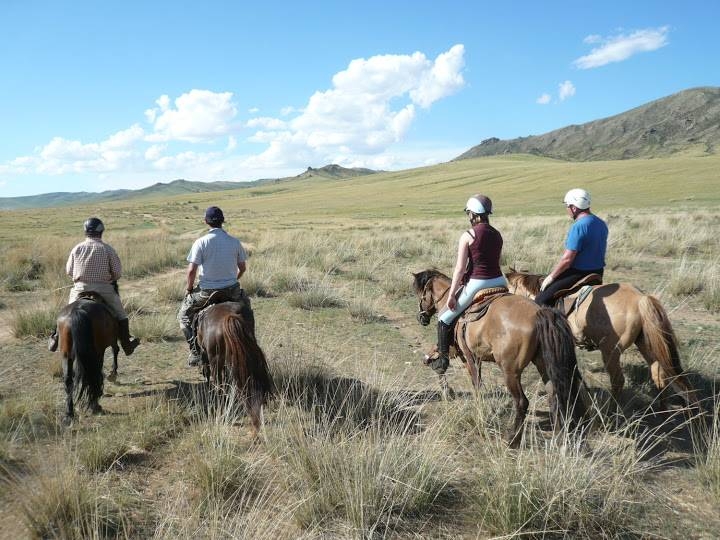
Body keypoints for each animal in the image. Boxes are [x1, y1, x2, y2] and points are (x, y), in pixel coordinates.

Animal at [414, 268, 588, 446]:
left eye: (422, 294)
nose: (421, 317)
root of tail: (539, 313)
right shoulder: (472, 357)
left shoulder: (466, 357)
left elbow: (474, 384)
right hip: (543, 365)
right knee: (554, 396)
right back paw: (558, 435)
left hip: (510, 372)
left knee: (522, 402)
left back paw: (513, 439)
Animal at [504, 266, 700, 410]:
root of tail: (640, 299)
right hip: (646, 344)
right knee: (658, 374)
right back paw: (662, 410)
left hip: (610, 351)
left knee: (618, 381)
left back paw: (612, 412)